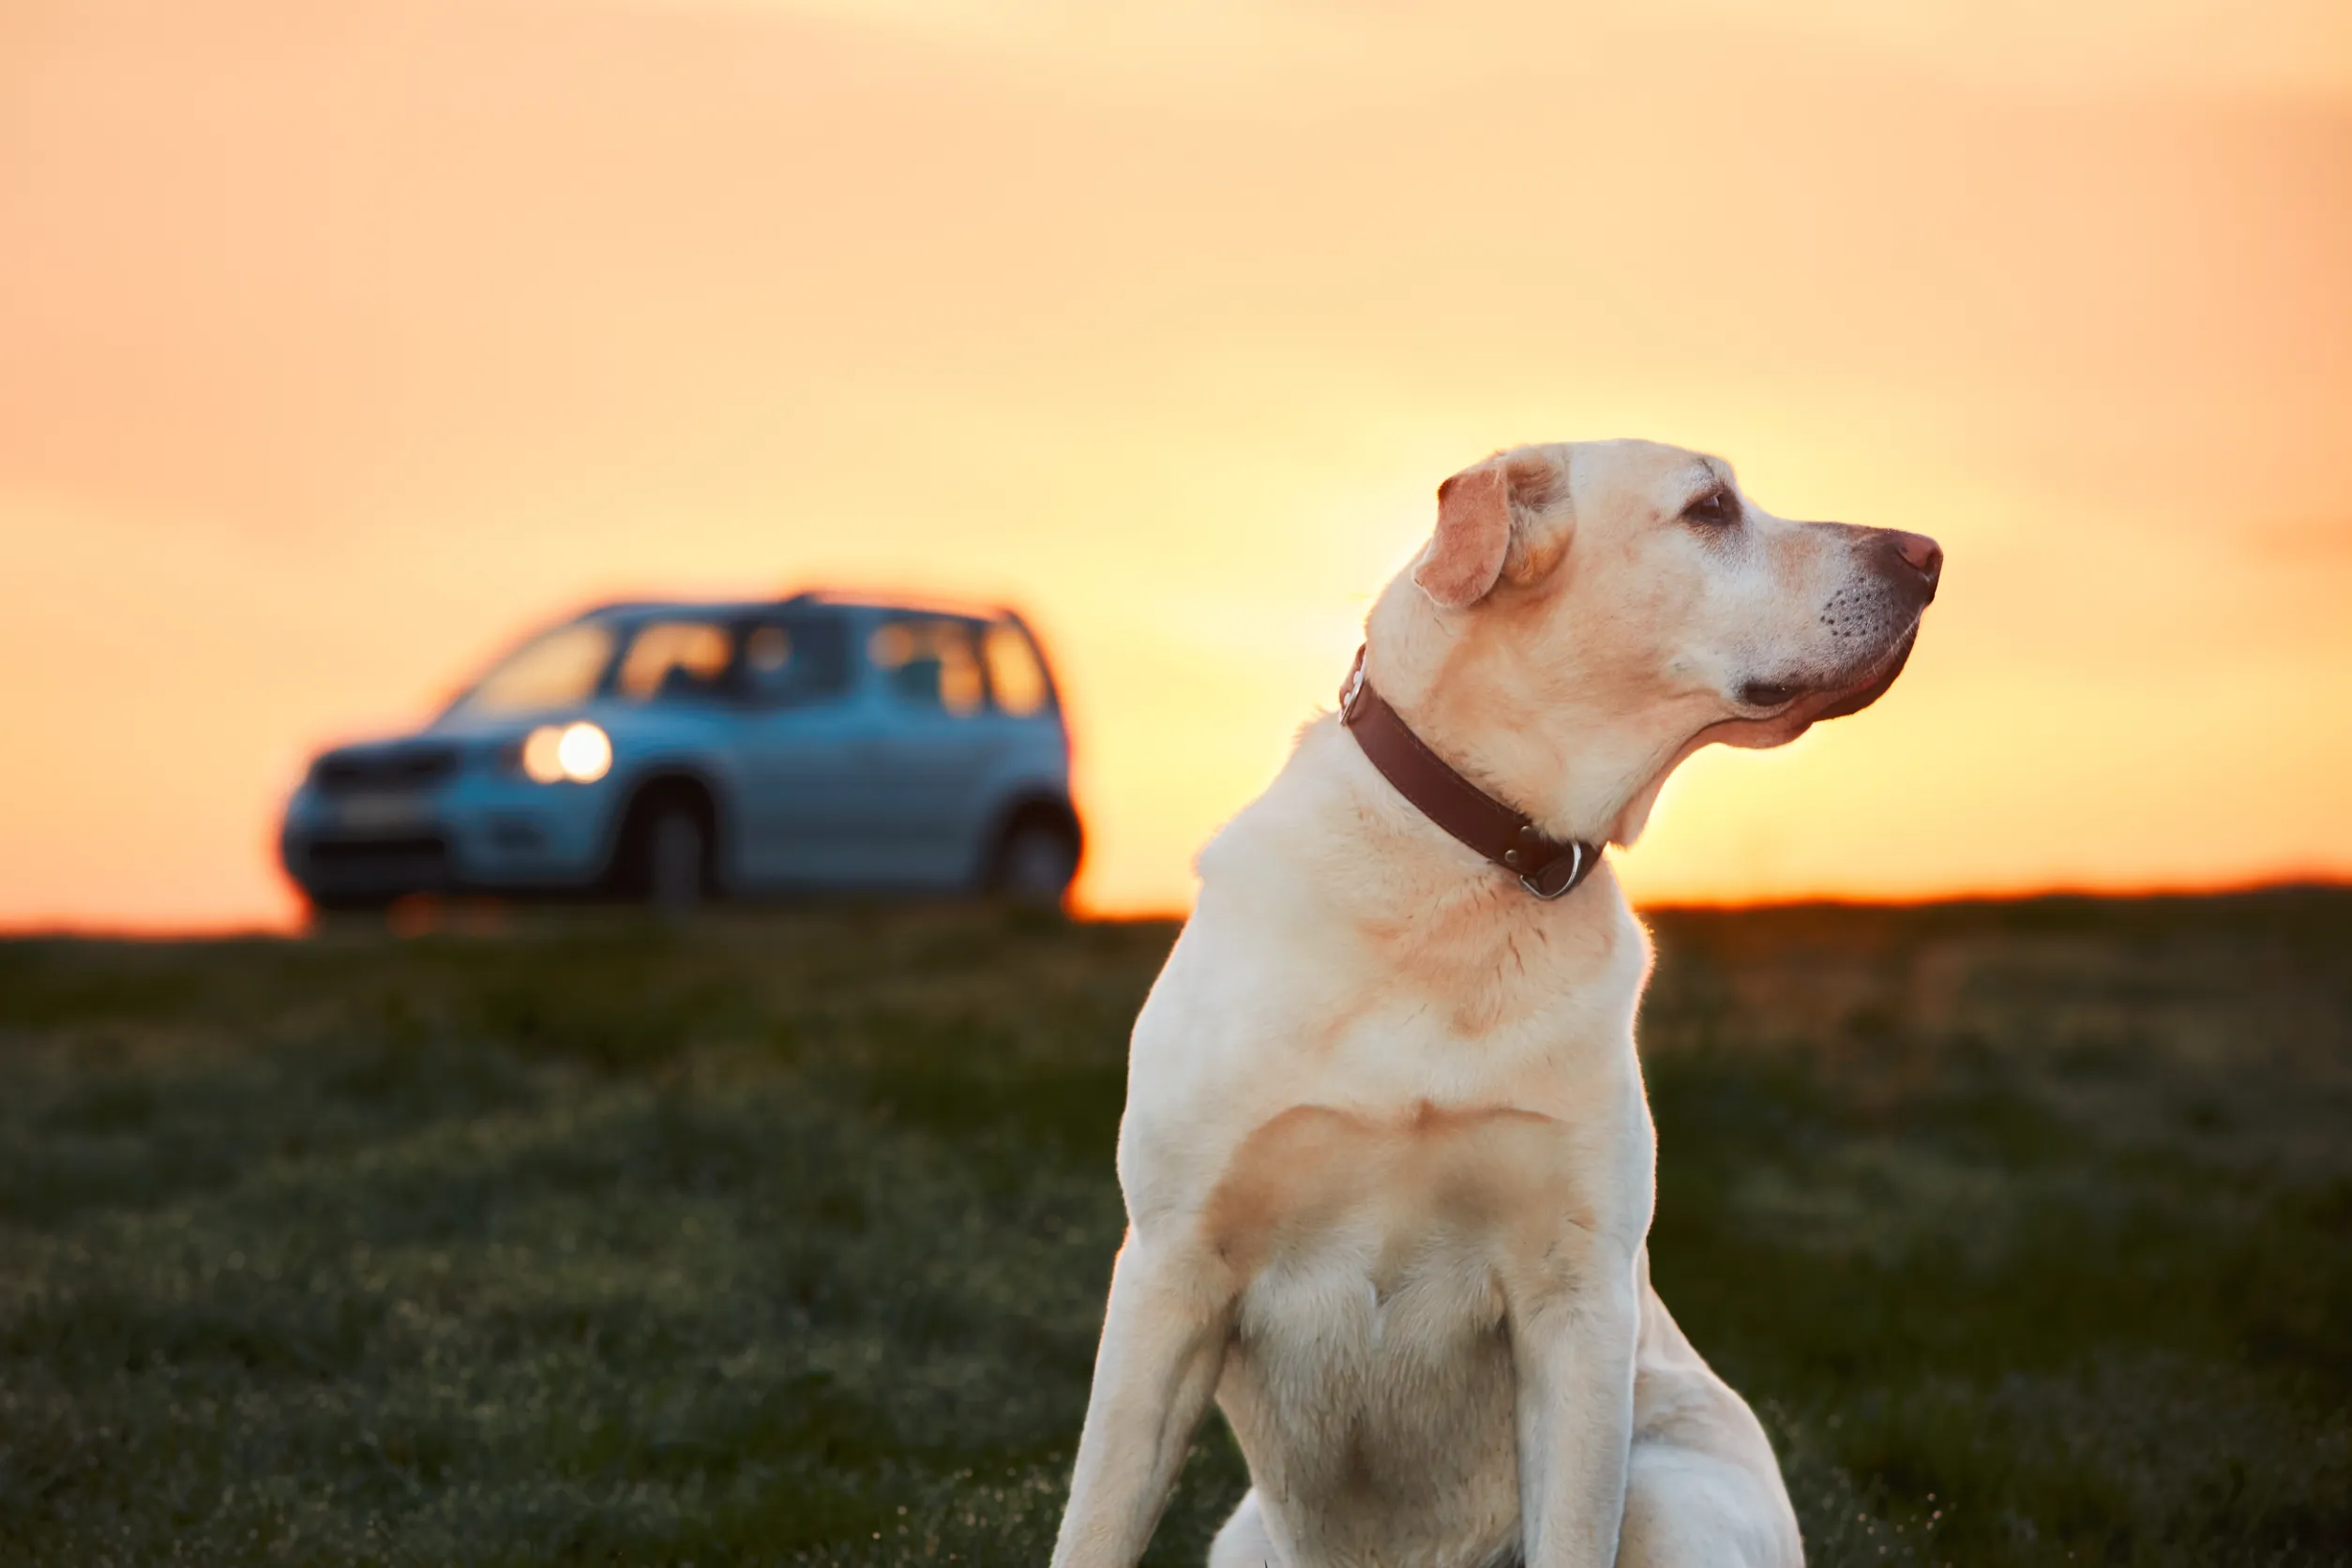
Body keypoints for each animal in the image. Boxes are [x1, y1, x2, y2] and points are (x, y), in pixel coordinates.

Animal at [1058, 439, 1937, 1568]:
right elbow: (1096, 1521)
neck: (1470, 869)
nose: (1928, 554)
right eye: (1709, 509)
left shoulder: (1577, 1299)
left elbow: (1573, 1525)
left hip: (1672, 1490)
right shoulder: (1171, 1268)